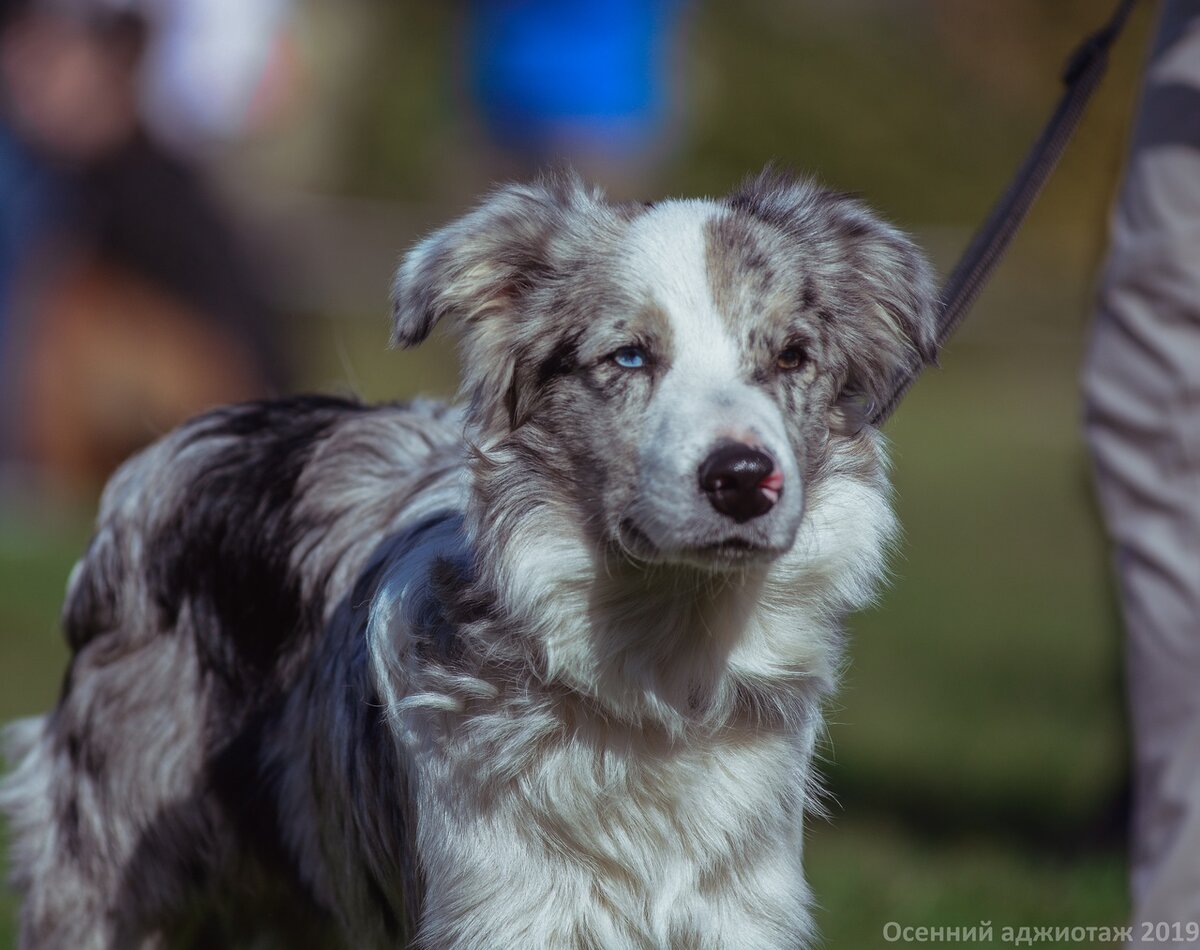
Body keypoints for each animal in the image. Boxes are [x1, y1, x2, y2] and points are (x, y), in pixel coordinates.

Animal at [0, 170, 936, 950]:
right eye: (629, 356)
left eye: (791, 356)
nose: (744, 479)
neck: (656, 671)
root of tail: (175, 450)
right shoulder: (506, 909)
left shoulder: (739, 909)